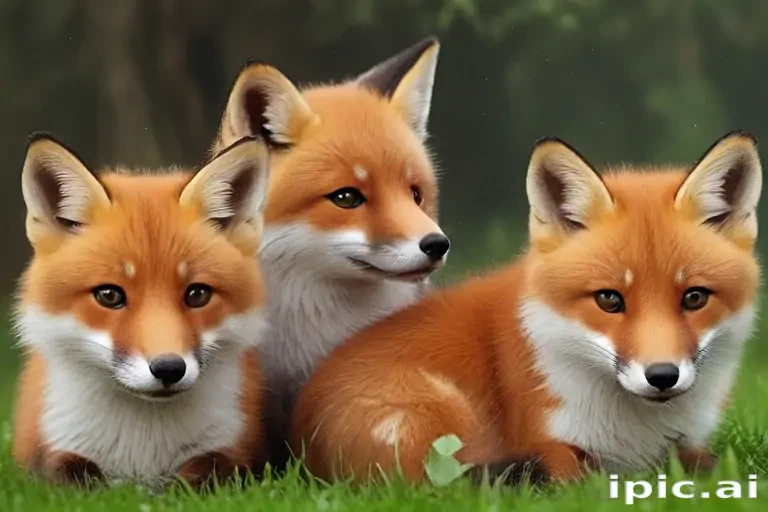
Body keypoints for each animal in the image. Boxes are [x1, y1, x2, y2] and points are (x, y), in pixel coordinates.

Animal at [12, 134, 271, 488]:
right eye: (109, 295)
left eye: (197, 294)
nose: (169, 369)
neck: (143, 453)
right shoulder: (52, 456)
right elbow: (78, 480)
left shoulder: (233, 455)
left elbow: (196, 479)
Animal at [290, 131, 762, 484]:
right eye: (609, 299)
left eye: (694, 297)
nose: (662, 376)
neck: (636, 434)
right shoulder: (551, 444)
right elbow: (575, 479)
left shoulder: (690, 448)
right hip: (446, 413)